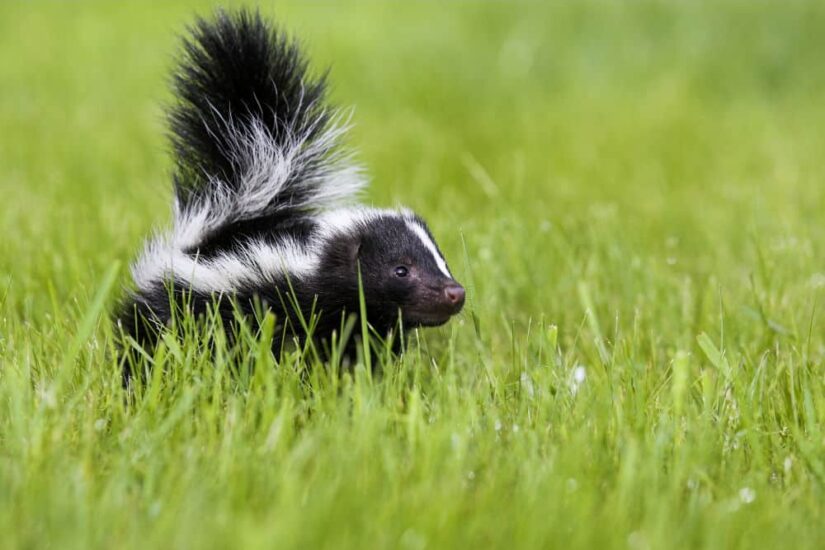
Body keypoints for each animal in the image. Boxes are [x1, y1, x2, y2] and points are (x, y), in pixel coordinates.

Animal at [115, 8, 464, 374]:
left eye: (441, 260)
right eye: (401, 270)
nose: (455, 292)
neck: (313, 263)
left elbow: (359, 349)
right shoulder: (272, 299)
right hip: (172, 299)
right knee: (147, 335)